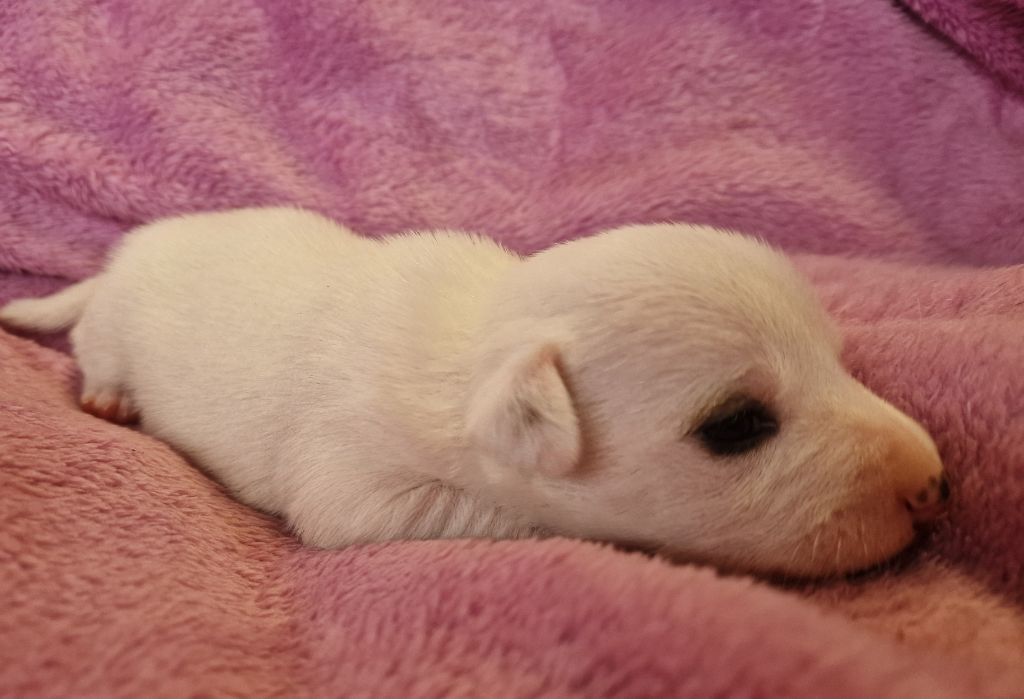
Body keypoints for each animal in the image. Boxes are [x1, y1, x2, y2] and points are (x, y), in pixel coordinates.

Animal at [0, 207, 948, 577]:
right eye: (739, 424)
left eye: (838, 361)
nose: (935, 485)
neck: (480, 348)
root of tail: (113, 266)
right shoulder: (355, 483)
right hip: (111, 335)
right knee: (97, 359)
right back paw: (110, 398)